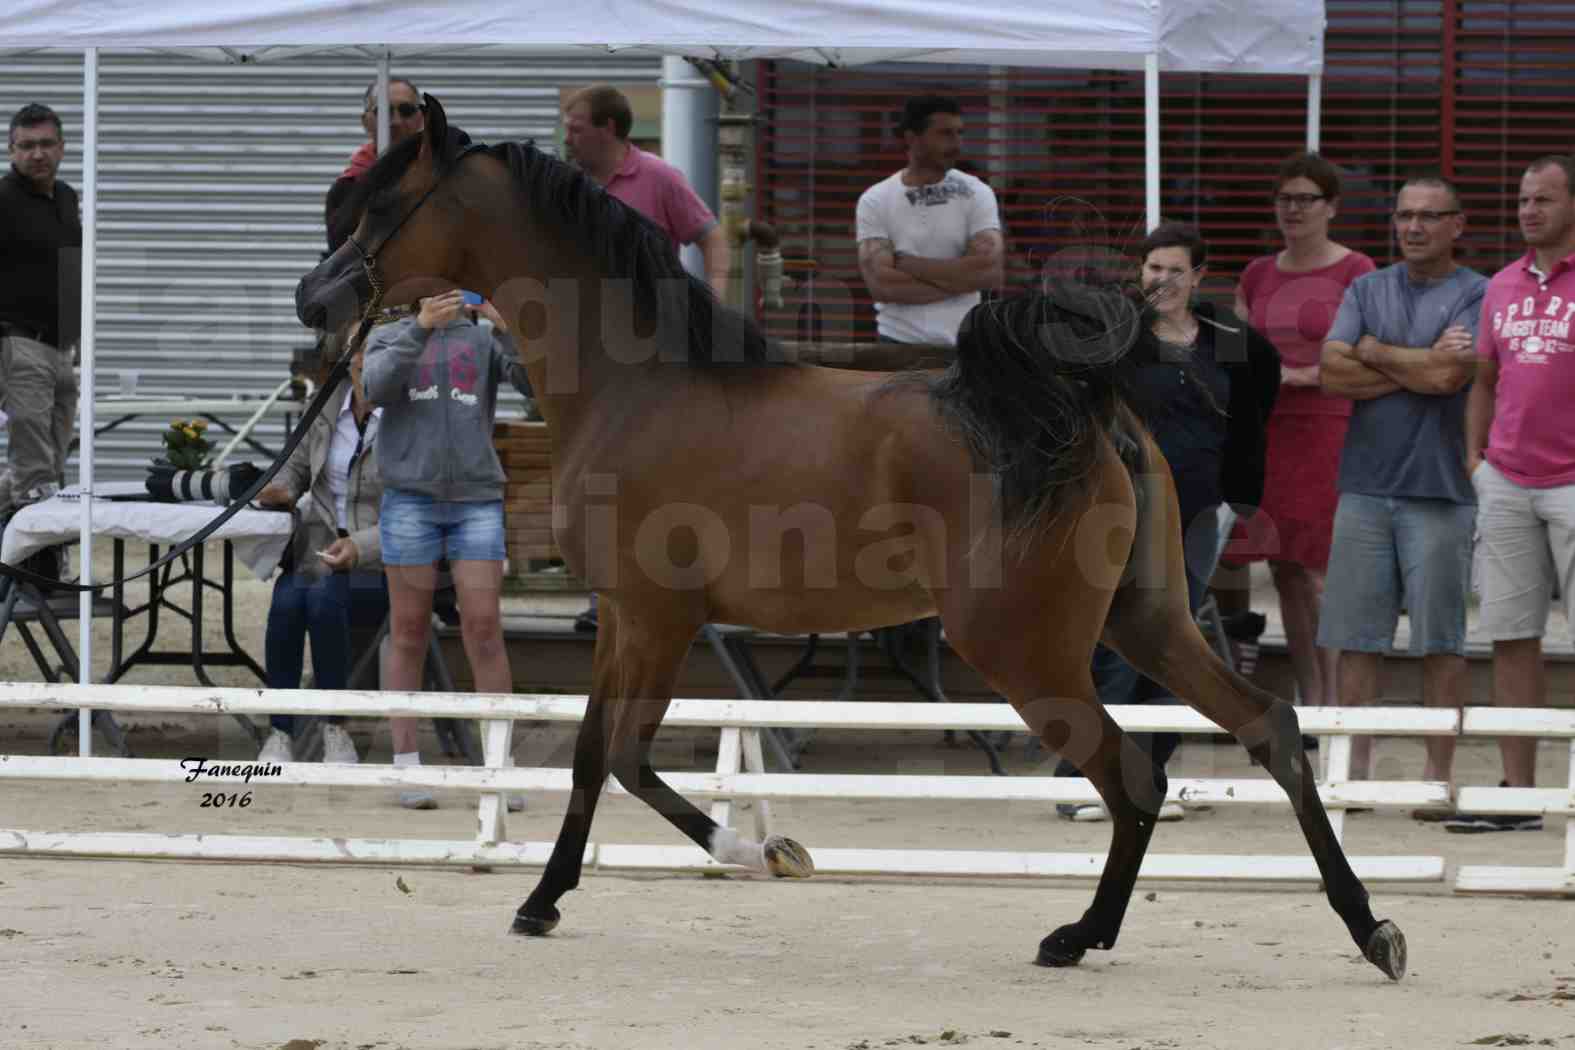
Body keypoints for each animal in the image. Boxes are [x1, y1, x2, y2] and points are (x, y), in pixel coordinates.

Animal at [296, 94, 1404, 982]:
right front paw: (544, 901)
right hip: (1148, 619)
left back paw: (1080, 935)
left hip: (1025, 650)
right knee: (1267, 727)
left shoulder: (657, 618)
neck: (639, 384)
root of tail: (1085, 412)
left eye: (385, 206)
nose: (315, 304)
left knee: (1131, 773)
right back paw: (1366, 928)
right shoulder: (624, 617)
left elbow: (625, 757)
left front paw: (758, 854)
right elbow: (588, 760)